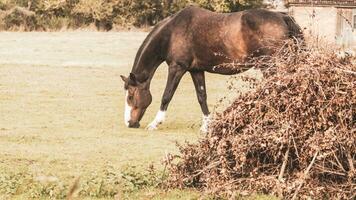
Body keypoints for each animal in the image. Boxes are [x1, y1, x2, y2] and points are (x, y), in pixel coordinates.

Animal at [120, 6, 304, 130]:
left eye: (130, 96)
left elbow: (167, 96)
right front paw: (207, 126)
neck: (171, 33)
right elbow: (202, 97)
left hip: (270, 66)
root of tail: (282, 16)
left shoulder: (177, 68)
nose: (129, 123)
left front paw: (155, 123)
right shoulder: (196, 70)